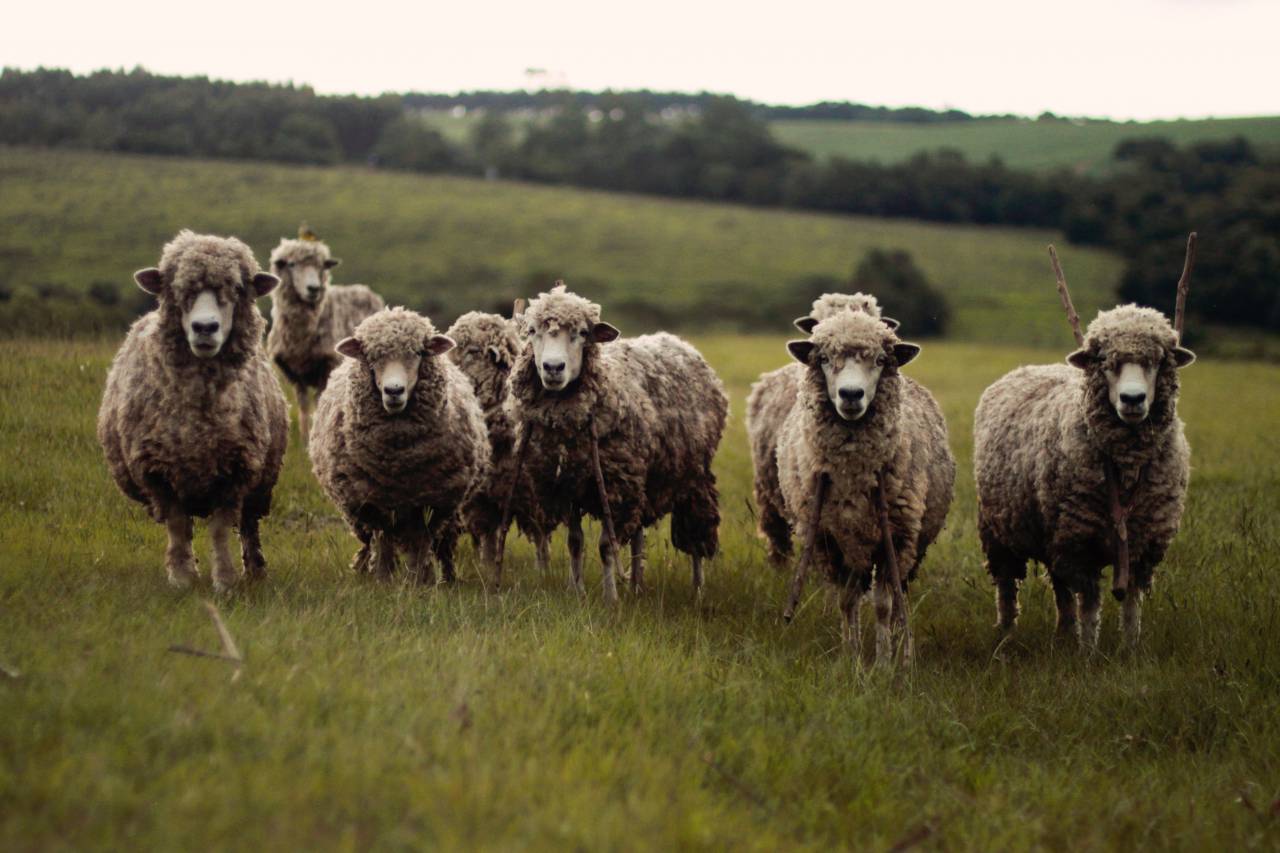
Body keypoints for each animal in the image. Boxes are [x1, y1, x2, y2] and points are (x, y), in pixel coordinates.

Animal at [99, 230, 290, 591]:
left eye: (237, 288)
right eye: (179, 289)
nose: (205, 327)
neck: (199, 422)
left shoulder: (236, 470)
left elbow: (220, 529)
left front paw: (225, 580)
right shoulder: (157, 471)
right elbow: (177, 526)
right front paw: (182, 578)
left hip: (260, 483)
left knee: (249, 526)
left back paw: (256, 571)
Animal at [448, 306, 552, 571]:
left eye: (473, 351)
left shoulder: (536, 495)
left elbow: (540, 537)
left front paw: (543, 571)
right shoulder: (481, 498)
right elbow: (488, 538)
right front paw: (486, 568)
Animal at [972, 245, 1192, 645]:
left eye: (1156, 362)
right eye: (1105, 362)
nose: (1133, 399)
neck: (1125, 465)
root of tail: (1029, 367)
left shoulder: (1141, 545)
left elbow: (1132, 603)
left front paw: (1130, 647)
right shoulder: (1081, 544)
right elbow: (1090, 605)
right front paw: (1088, 650)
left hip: (1052, 532)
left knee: (1059, 586)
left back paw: (1063, 630)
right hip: (1001, 529)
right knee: (1008, 584)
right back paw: (1008, 631)